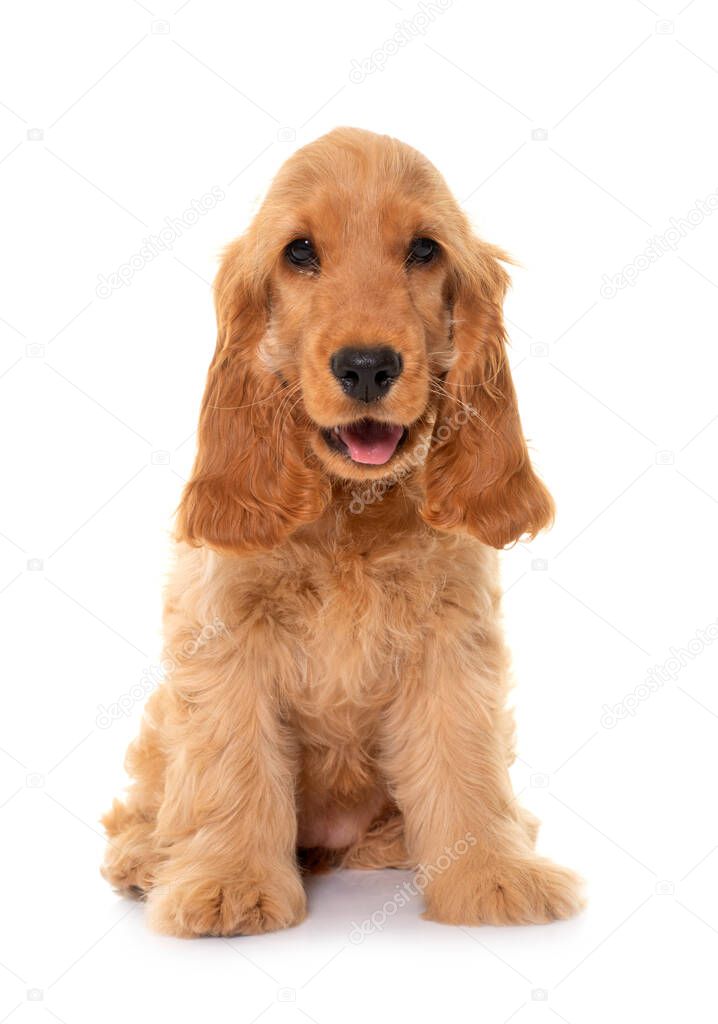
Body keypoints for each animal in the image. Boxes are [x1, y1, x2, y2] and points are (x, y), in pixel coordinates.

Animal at [100, 125, 581, 937]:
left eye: (423, 249)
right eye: (299, 252)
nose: (366, 366)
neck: (349, 512)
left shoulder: (451, 639)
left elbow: (466, 763)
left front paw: (491, 877)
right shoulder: (225, 634)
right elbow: (231, 765)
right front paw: (229, 885)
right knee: (146, 800)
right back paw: (146, 859)